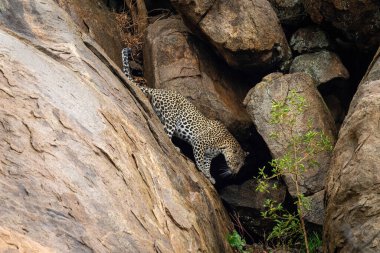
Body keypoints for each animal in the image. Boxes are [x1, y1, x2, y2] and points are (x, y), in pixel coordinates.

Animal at [120, 47, 248, 183]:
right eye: (236, 162)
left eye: (240, 166)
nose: (235, 173)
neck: (223, 145)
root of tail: (158, 91)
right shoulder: (199, 143)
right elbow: (200, 161)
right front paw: (203, 171)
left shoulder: (208, 155)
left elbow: (207, 165)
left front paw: (209, 176)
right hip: (171, 119)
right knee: (165, 133)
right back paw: (175, 147)